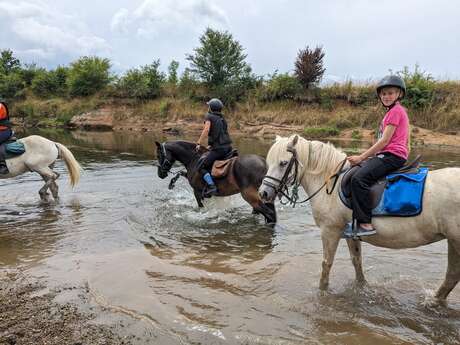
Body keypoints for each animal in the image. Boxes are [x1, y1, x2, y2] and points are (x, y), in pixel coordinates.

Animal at [260, 134, 460, 306]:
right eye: (269, 163)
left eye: (283, 163)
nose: (264, 193)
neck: (331, 185)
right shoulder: (351, 233)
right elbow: (357, 261)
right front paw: (362, 288)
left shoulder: (330, 230)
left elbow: (326, 264)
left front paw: (322, 292)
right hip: (452, 241)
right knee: (451, 276)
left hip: (455, 240)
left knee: (452, 275)